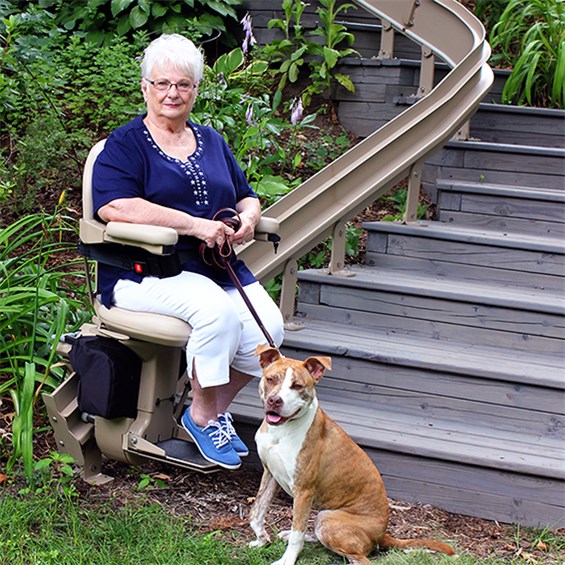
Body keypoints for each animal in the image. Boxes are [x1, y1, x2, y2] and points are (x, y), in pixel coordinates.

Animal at [248, 344, 454, 564]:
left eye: (297, 386)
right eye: (271, 379)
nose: (274, 400)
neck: (281, 431)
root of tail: (382, 534)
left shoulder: (304, 491)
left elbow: (297, 533)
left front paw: (287, 560)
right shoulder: (270, 473)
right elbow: (257, 512)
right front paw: (261, 540)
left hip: (328, 519)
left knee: (360, 558)